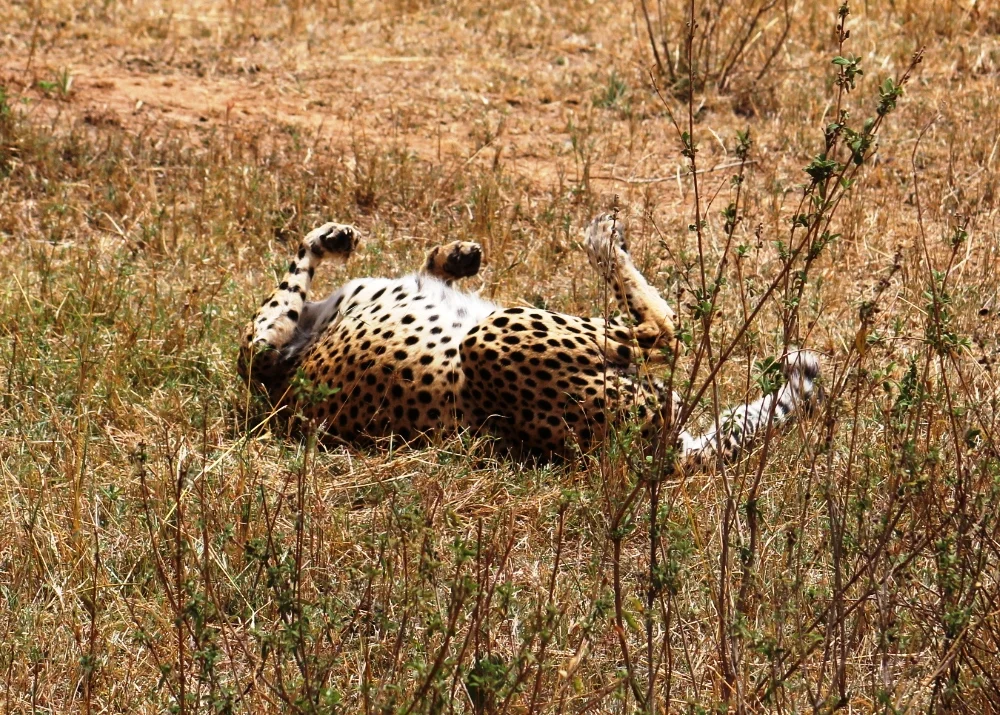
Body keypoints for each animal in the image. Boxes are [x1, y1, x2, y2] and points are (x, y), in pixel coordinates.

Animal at [238, 213, 821, 467]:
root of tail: (663, 453)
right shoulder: (264, 349)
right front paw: (329, 239)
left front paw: (453, 256)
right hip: (495, 334)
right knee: (665, 332)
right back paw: (604, 235)